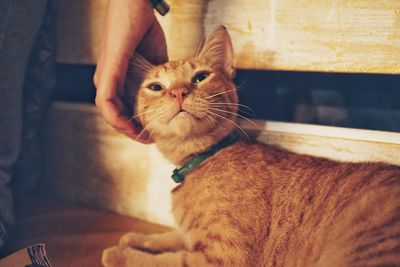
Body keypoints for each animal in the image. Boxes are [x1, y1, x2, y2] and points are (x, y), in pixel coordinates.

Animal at [103, 25, 400, 267]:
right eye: (155, 87)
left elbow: (164, 260)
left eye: (200, 77)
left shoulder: (221, 258)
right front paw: (138, 237)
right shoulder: (193, 239)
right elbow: (173, 236)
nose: (178, 92)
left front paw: (120, 253)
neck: (202, 160)